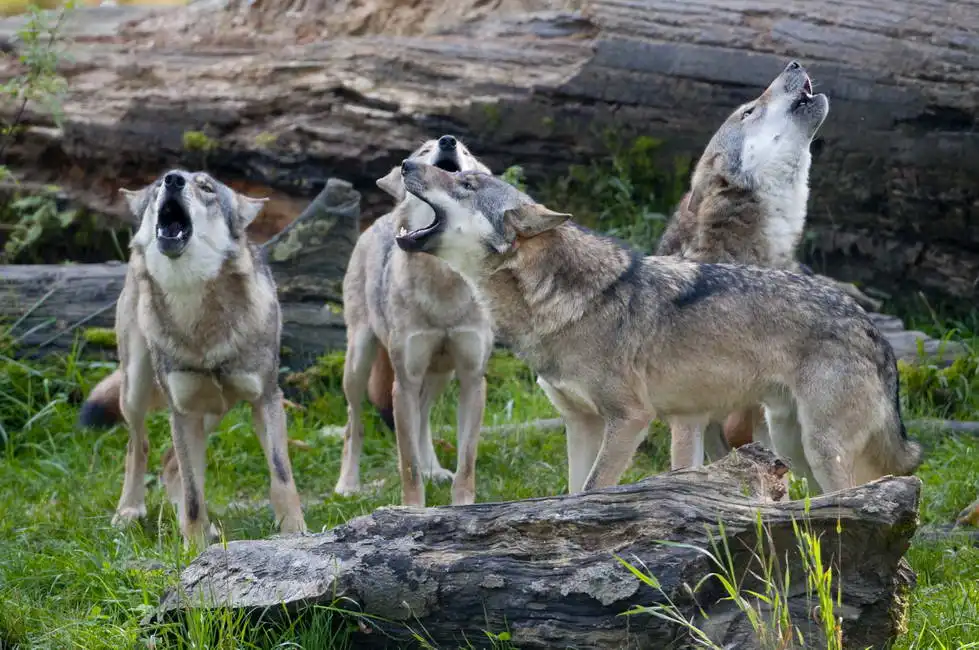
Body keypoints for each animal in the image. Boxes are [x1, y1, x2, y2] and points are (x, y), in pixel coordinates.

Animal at [78, 169, 306, 546]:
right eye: (159, 185)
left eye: (207, 188)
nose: (172, 180)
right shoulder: (182, 412)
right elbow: (194, 495)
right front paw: (193, 547)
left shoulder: (267, 399)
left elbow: (281, 475)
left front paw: (294, 534)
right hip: (137, 390)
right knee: (139, 448)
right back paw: (129, 512)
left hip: (215, 410)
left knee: (171, 465)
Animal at [334, 135, 494, 508]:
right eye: (424, 150)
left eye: (466, 153)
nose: (449, 141)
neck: (444, 284)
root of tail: (379, 219)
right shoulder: (403, 383)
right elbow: (408, 466)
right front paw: (413, 511)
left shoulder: (472, 380)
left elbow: (466, 462)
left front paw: (463, 507)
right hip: (358, 363)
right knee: (354, 424)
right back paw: (347, 485)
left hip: (440, 374)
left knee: (423, 419)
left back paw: (434, 469)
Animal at [391, 161, 922, 496]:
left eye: (467, 183)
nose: (406, 163)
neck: (559, 302)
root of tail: (873, 330)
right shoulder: (580, 424)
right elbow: (571, 495)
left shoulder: (630, 419)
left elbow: (594, 490)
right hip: (792, 444)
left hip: (819, 447)